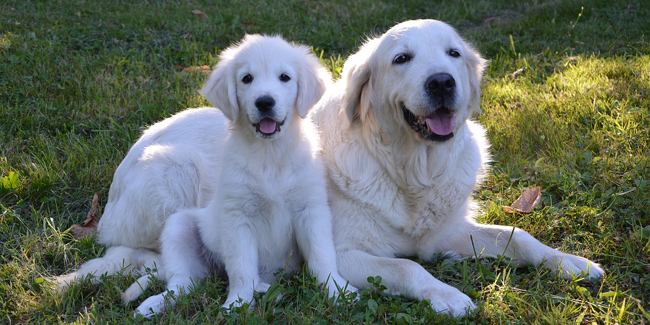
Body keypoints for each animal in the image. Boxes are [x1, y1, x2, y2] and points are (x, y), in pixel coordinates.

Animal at [56, 35, 352, 308]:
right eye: (247, 79)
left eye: (285, 77)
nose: (264, 102)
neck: (270, 156)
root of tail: (107, 211)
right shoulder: (236, 215)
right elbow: (241, 265)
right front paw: (238, 304)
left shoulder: (311, 208)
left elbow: (321, 256)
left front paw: (337, 291)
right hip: (179, 177)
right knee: (170, 273)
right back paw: (150, 304)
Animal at [308, 19, 604, 316]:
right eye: (401, 58)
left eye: (454, 53)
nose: (441, 82)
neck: (413, 172)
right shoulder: (342, 253)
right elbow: (407, 265)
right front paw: (447, 295)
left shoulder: (444, 234)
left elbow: (518, 235)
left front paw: (567, 261)